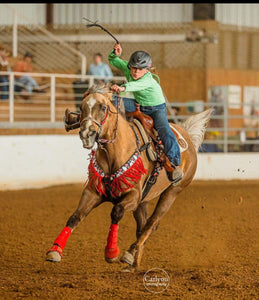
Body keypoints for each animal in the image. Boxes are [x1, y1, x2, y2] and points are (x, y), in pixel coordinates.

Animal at [46, 83, 213, 270]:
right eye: (81, 107)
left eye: (103, 107)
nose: (87, 133)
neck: (116, 152)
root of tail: (188, 137)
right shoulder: (93, 193)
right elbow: (75, 217)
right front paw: (55, 251)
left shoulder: (132, 195)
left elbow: (116, 212)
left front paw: (111, 253)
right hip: (143, 201)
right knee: (143, 226)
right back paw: (133, 262)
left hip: (172, 192)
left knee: (151, 224)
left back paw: (129, 254)